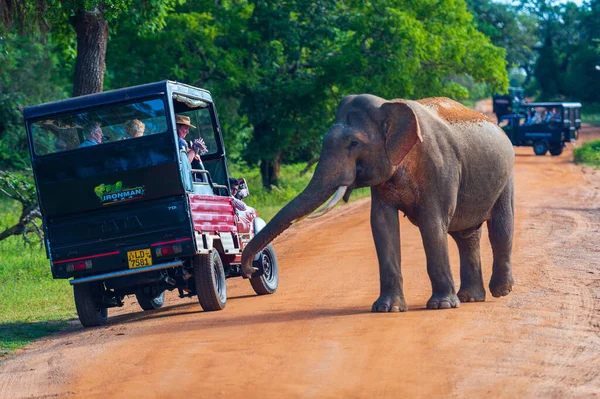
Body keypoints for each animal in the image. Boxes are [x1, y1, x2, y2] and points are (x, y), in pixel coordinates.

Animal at [241, 94, 512, 312]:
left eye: (354, 144)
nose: (251, 269)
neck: (389, 105)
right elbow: (382, 225)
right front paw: (387, 308)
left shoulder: (439, 168)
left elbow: (432, 224)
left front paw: (441, 306)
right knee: (466, 236)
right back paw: (470, 298)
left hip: (506, 176)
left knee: (499, 229)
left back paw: (500, 291)